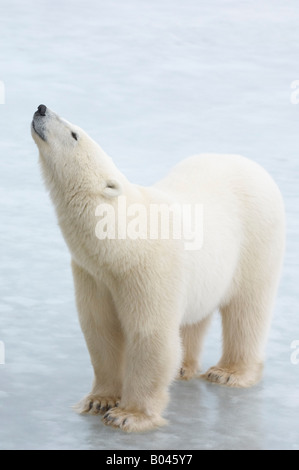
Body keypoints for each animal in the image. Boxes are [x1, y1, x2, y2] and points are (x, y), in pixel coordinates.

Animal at [31, 104, 286, 432]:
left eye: (74, 134)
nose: (42, 108)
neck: (122, 243)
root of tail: (253, 166)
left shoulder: (148, 269)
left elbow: (150, 335)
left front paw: (128, 415)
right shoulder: (94, 275)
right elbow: (100, 329)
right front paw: (99, 400)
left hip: (257, 239)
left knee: (248, 308)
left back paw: (229, 372)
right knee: (195, 316)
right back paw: (184, 368)